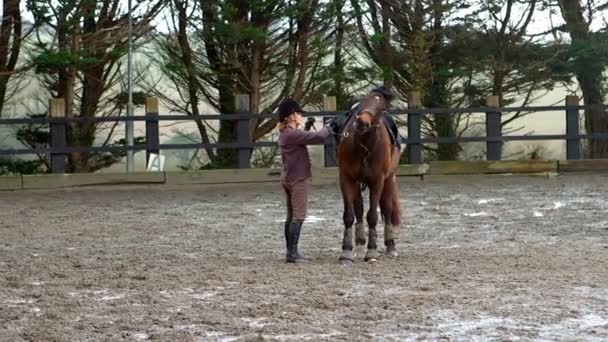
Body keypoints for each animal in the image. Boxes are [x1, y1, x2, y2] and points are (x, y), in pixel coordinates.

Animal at [334, 89, 402, 264]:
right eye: (363, 101)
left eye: (381, 107)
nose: (362, 122)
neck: (364, 146)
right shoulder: (346, 179)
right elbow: (349, 215)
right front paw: (346, 251)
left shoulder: (377, 181)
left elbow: (373, 215)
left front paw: (371, 252)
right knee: (358, 209)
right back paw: (358, 247)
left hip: (389, 180)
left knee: (386, 208)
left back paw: (390, 247)